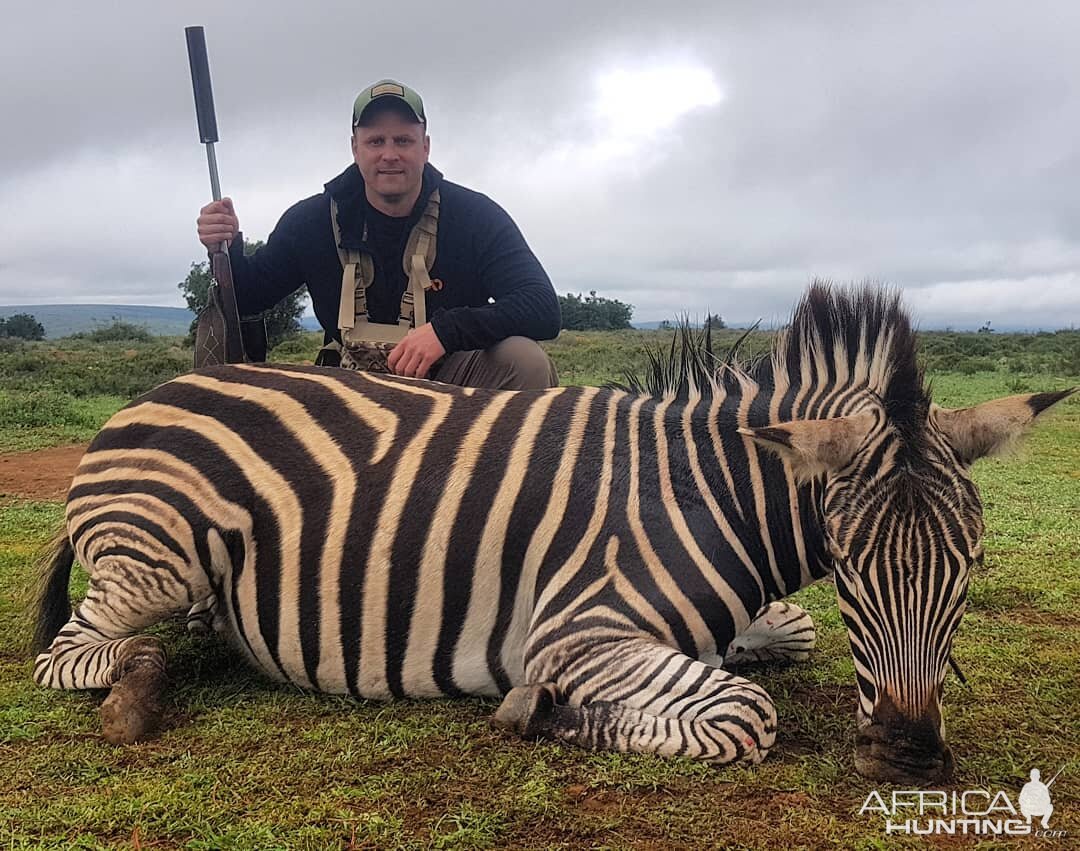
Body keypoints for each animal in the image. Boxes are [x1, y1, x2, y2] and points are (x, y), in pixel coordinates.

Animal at [29, 282, 1067, 781]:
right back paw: (137, 685)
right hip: (157, 556)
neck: (710, 493)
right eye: (849, 563)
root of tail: (151, 392)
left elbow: (787, 638)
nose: (910, 759)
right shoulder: (578, 629)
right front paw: (548, 712)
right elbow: (745, 714)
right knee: (72, 649)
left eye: (971, 563)